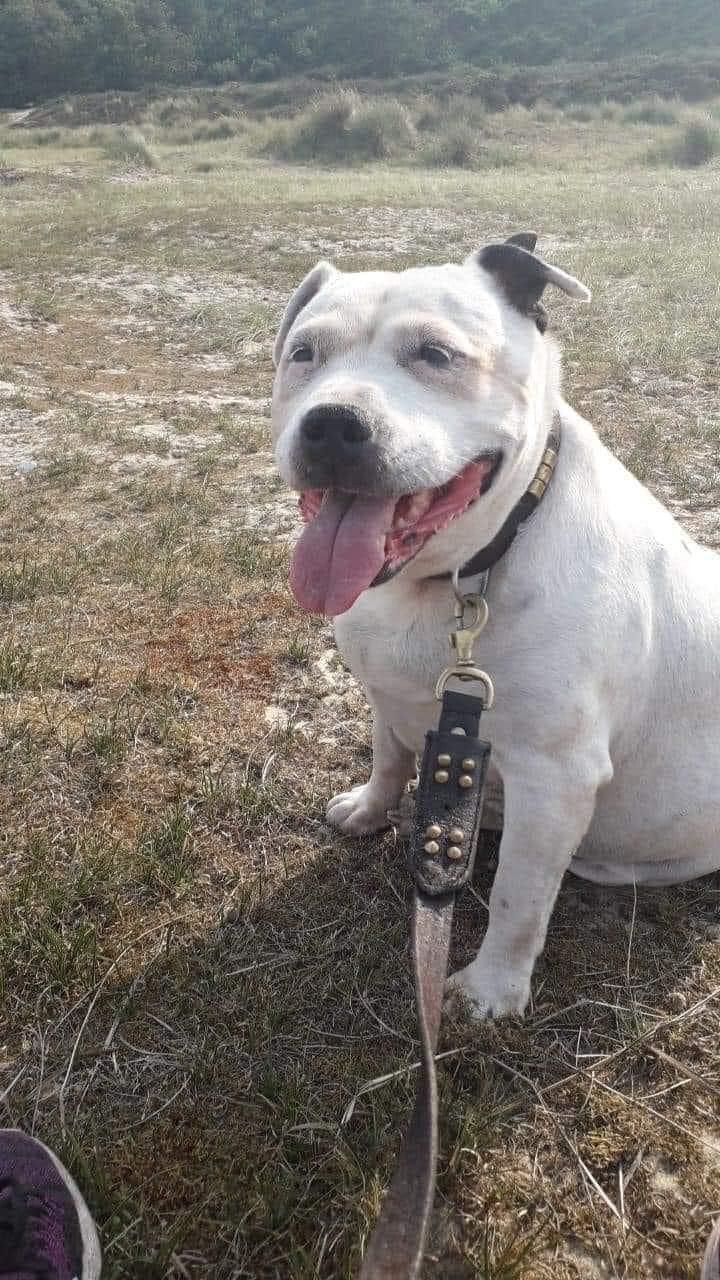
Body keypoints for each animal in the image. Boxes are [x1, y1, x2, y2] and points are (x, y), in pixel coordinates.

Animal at [270, 232, 717, 1018]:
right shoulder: (390, 696)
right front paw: (370, 808)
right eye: (303, 353)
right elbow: (389, 756)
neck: (458, 578)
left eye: (435, 354)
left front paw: (490, 992)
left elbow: (518, 897)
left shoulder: (555, 779)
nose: (330, 424)